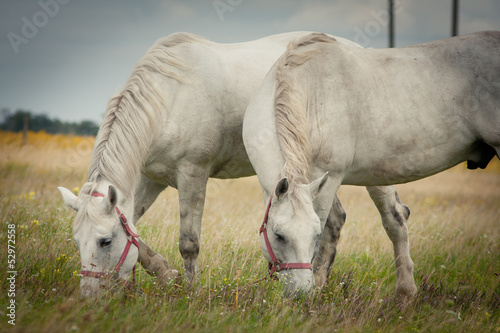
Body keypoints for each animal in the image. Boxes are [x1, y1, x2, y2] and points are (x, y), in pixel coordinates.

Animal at [58, 31, 386, 296]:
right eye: (77, 240)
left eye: (105, 241)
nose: (89, 296)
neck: (170, 98)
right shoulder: (150, 178)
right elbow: (135, 230)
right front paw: (166, 273)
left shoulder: (192, 173)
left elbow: (189, 243)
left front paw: (189, 292)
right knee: (334, 219)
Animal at [243, 30, 500, 296]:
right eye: (279, 235)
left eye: (313, 235)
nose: (302, 293)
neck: (310, 92)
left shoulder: (329, 177)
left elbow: (327, 228)